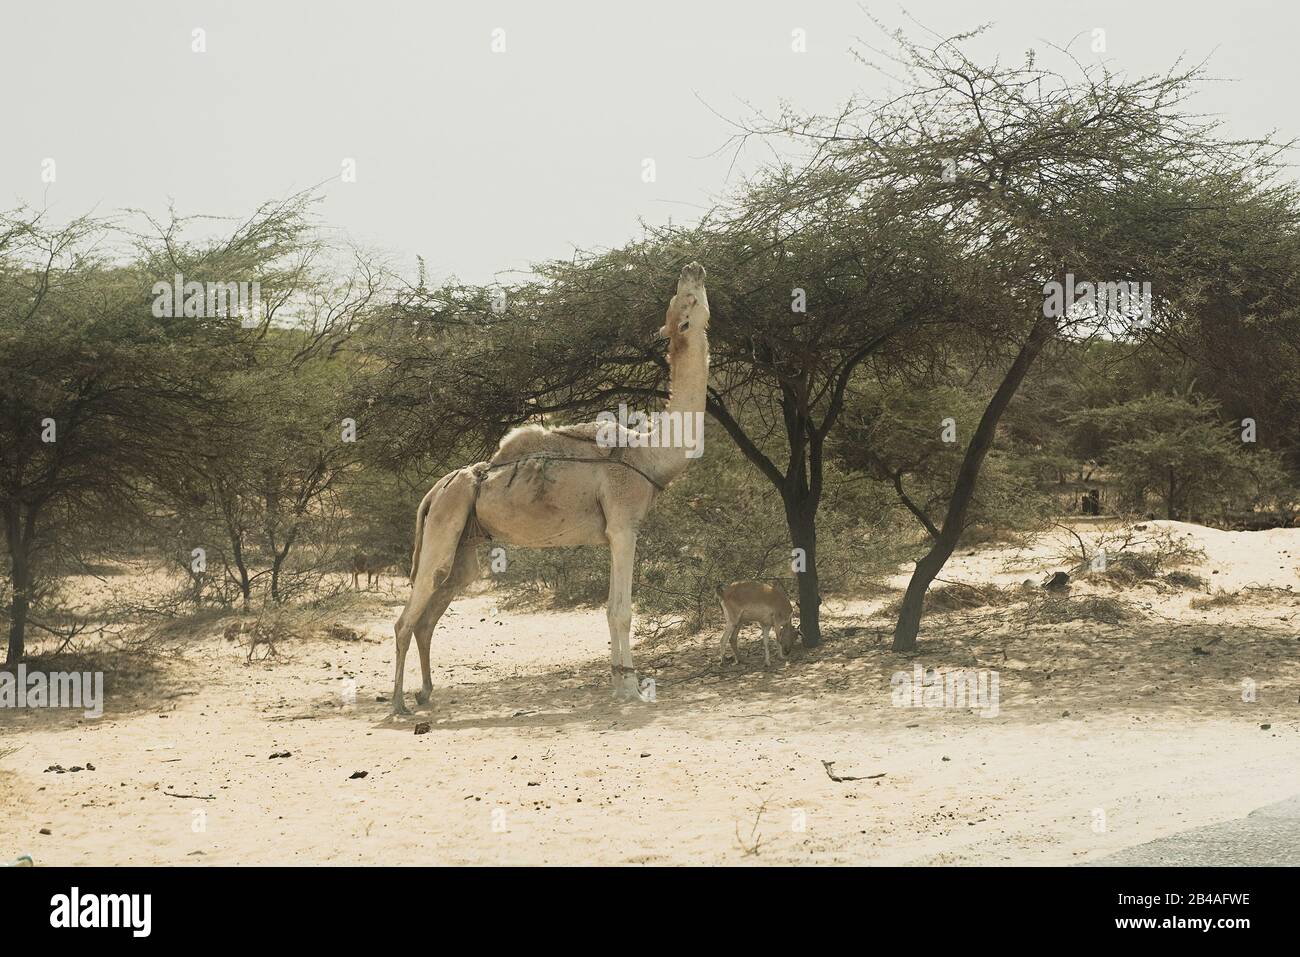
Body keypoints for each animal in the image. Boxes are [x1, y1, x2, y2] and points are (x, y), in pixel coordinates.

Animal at [389, 262, 711, 715]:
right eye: (689, 299)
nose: (692, 267)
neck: (650, 454)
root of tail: (435, 491)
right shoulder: (623, 526)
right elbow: (620, 610)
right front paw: (630, 689)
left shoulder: (617, 530)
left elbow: (612, 609)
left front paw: (618, 684)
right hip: (445, 521)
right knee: (407, 617)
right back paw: (398, 703)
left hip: (463, 542)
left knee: (431, 614)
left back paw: (425, 693)